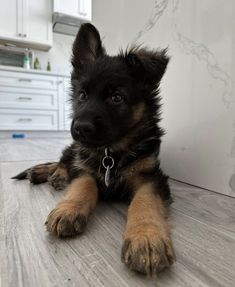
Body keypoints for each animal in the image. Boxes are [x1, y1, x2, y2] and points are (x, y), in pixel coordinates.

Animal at [13, 23, 174, 276]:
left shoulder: (151, 177)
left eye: (116, 97)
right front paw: (68, 209)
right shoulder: (85, 169)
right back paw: (49, 173)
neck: (112, 153)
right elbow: (83, 185)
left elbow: (144, 201)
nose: (80, 128)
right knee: (63, 160)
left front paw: (146, 238)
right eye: (82, 95)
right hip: (74, 149)